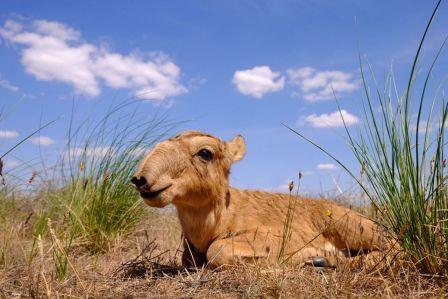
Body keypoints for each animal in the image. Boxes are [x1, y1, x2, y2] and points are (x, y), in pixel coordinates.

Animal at [131, 131, 386, 270]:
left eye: (205, 153)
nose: (140, 179)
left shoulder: (275, 236)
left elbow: (218, 250)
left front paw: (312, 256)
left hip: (354, 228)